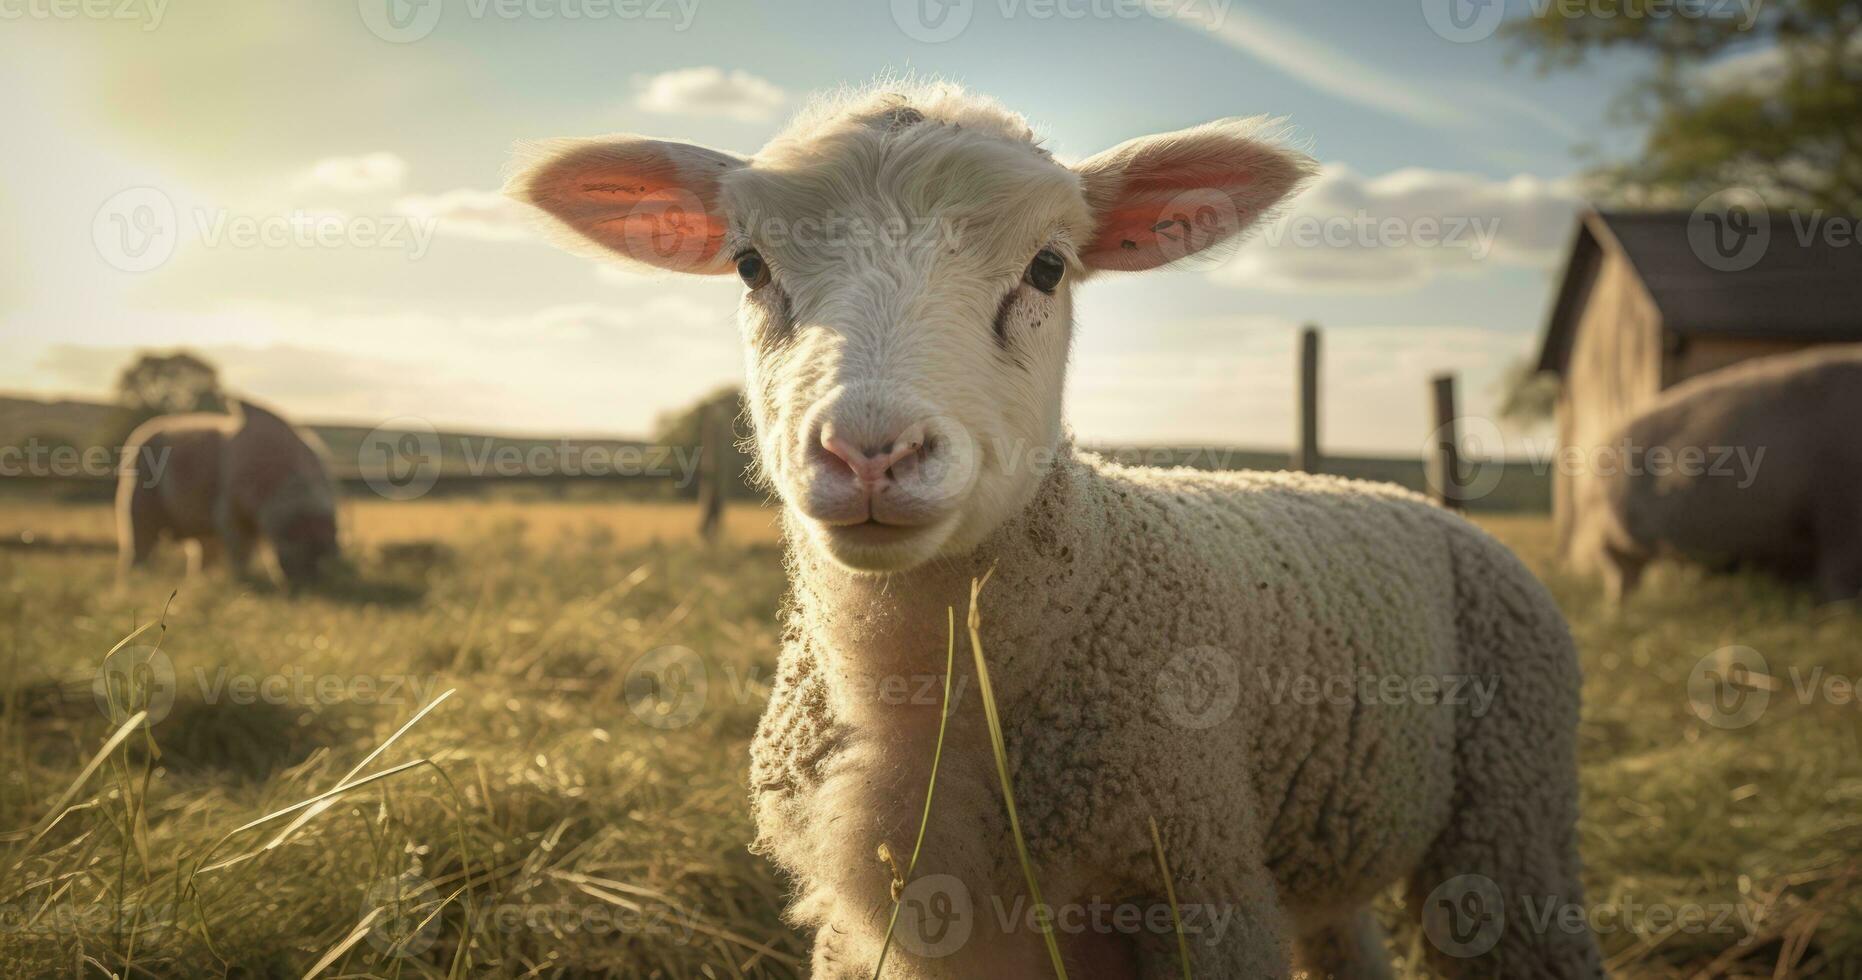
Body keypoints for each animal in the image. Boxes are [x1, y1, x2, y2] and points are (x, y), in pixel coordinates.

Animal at [119, 398, 342, 592]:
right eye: (302, 548)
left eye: (323, 555)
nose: (307, 588)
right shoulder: (228, 509)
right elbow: (240, 548)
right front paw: (243, 582)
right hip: (136, 502)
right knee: (138, 542)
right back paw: (136, 578)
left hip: (200, 528)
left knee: (203, 551)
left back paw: (202, 580)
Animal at [510, 82, 1601, 980]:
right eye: (748, 265)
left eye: (1045, 268)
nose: (870, 454)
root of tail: (1400, 495)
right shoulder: (863, 930)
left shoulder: (1198, 884)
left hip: (1511, 821)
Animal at [1571, 346, 1862, 607]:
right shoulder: (1839, 509)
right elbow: (1840, 576)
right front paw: (1842, 613)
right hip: (1607, 536)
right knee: (1619, 576)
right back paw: (1617, 611)